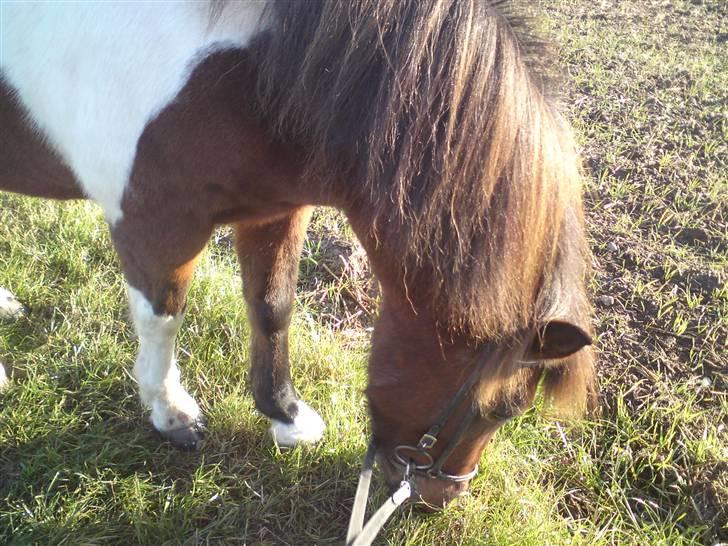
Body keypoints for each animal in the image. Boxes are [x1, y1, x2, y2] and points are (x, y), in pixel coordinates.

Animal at [0, 1, 596, 510]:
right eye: (494, 409)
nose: (437, 500)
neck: (242, 76)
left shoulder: (274, 210)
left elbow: (272, 308)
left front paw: (284, 416)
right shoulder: (154, 226)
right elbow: (162, 320)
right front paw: (170, 413)